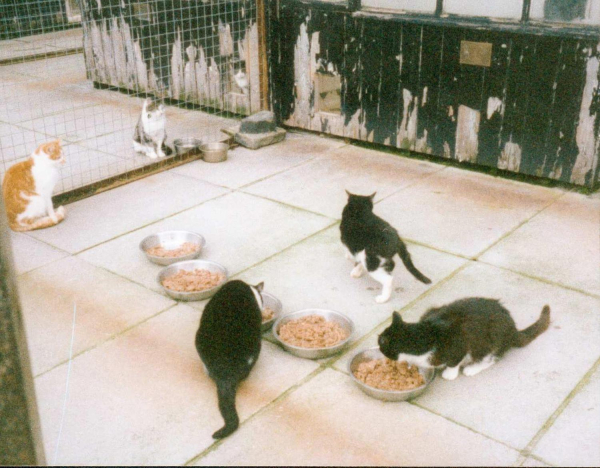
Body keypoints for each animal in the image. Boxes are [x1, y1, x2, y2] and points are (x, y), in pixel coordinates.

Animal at [378, 300, 552, 380]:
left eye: (381, 342)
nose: (377, 342)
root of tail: (513, 327)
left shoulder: (459, 342)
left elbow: (454, 360)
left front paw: (450, 373)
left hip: (494, 336)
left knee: (492, 356)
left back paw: (473, 368)